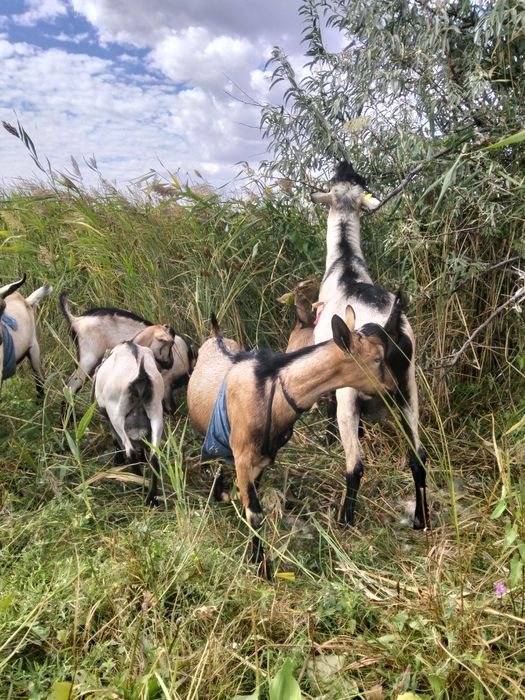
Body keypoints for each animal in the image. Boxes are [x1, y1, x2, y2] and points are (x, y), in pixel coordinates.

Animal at [59, 293, 194, 412]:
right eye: (168, 346)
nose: (169, 364)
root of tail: (76, 320)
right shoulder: (166, 381)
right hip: (88, 360)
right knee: (70, 388)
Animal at [94, 341, 165, 505]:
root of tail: (140, 376)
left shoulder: (110, 417)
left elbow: (115, 438)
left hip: (117, 415)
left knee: (130, 451)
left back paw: (138, 484)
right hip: (156, 414)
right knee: (154, 457)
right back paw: (151, 498)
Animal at [187, 308, 399, 573]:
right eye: (378, 358)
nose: (394, 388)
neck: (272, 389)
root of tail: (216, 336)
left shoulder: (262, 458)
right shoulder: (242, 455)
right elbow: (254, 512)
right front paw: (261, 567)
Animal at [312, 161, 429, 530]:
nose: (344, 162)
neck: (345, 266)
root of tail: (390, 324)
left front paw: (328, 438)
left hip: (352, 396)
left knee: (356, 466)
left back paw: (345, 519)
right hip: (409, 393)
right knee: (418, 458)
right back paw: (421, 519)